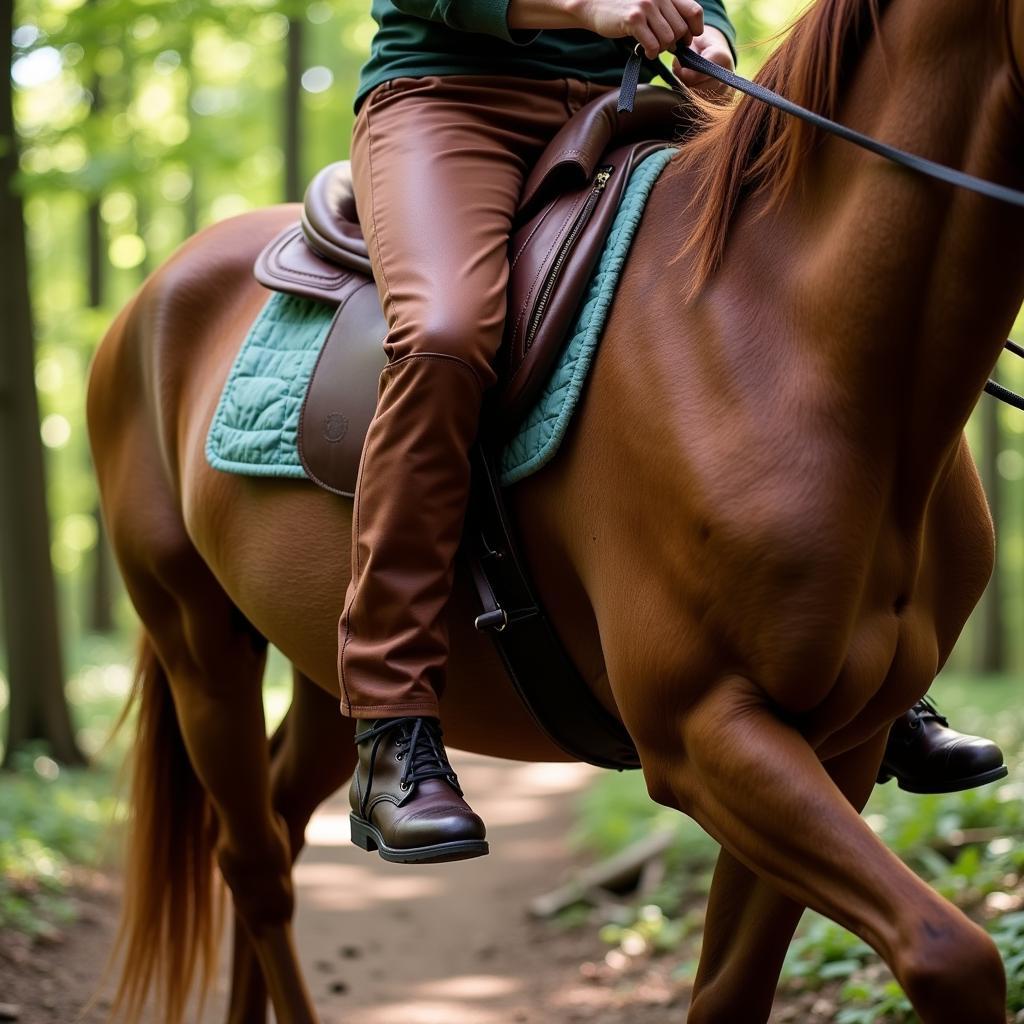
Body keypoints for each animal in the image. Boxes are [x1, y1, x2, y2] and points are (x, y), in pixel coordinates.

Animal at [86, 0, 1024, 1019]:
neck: (791, 336)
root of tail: (150, 297)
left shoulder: (836, 747)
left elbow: (738, 989)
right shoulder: (701, 734)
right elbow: (951, 953)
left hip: (314, 659)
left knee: (284, 823)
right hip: (198, 644)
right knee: (251, 861)